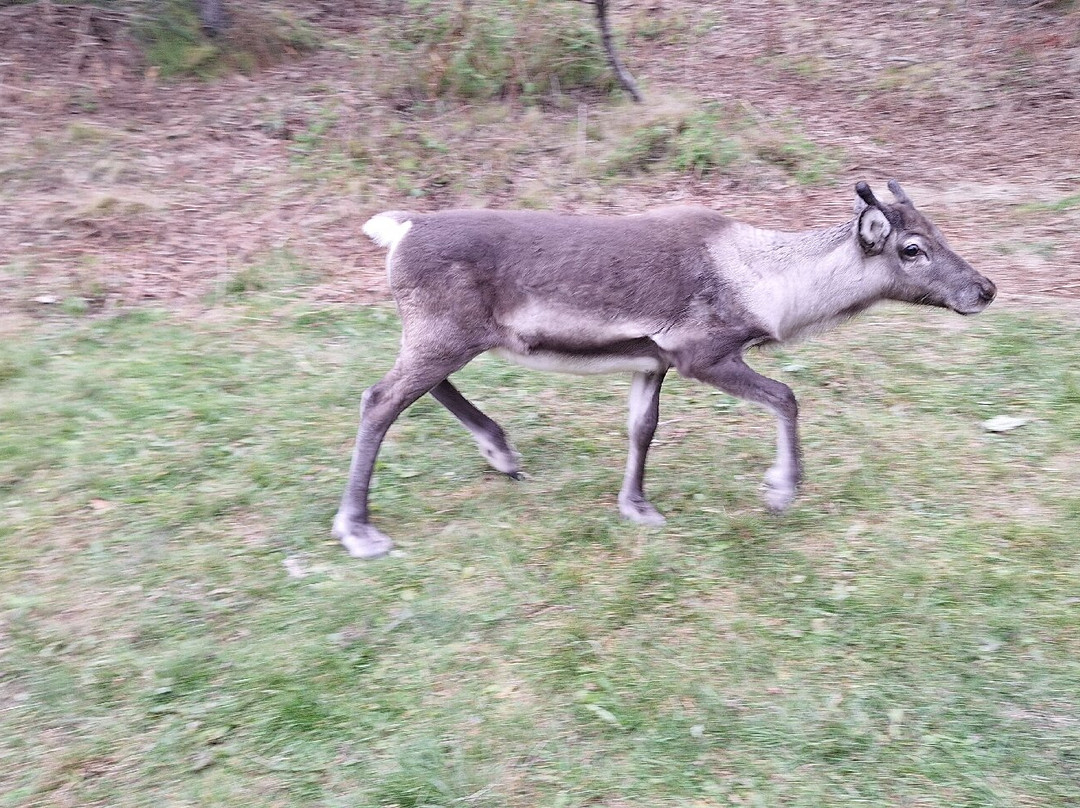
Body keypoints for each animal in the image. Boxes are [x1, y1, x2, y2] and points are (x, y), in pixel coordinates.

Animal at [332, 181, 996, 558]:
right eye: (911, 248)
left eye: (937, 231)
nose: (985, 289)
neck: (767, 284)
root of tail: (398, 231)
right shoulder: (701, 354)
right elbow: (786, 395)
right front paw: (781, 489)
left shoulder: (652, 360)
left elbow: (641, 429)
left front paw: (636, 506)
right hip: (444, 334)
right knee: (379, 399)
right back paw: (358, 529)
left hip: (448, 336)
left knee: (415, 388)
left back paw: (501, 451)